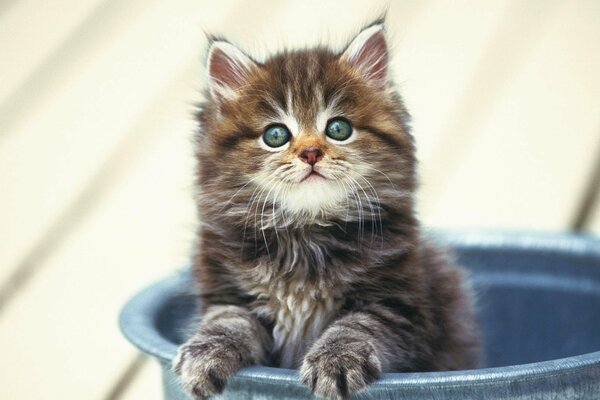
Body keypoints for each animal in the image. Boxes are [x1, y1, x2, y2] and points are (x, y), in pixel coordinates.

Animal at [172, 22, 478, 400]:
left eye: (338, 129)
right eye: (275, 135)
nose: (311, 153)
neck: (304, 235)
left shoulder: (398, 306)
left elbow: (356, 327)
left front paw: (336, 361)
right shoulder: (226, 292)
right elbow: (227, 321)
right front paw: (204, 356)